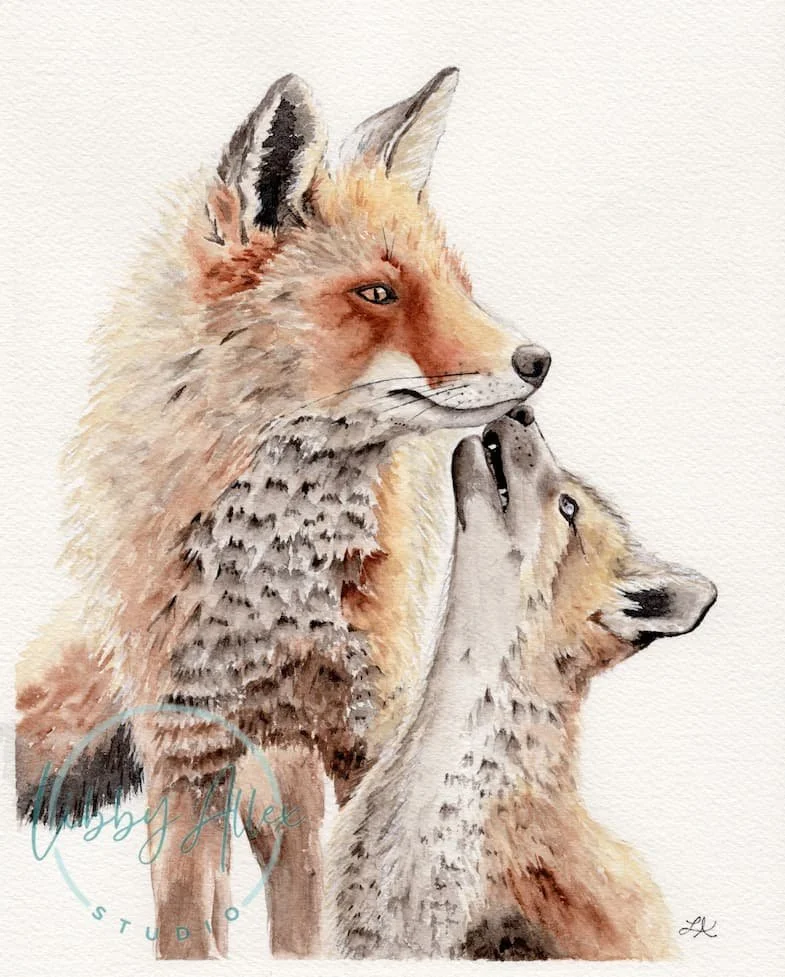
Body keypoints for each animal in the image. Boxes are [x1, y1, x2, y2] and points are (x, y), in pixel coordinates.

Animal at [14, 68, 551, 959]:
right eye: (378, 292)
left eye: (455, 284)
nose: (537, 361)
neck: (276, 580)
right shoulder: (186, 744)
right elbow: (188, 923)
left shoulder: (367, 724)